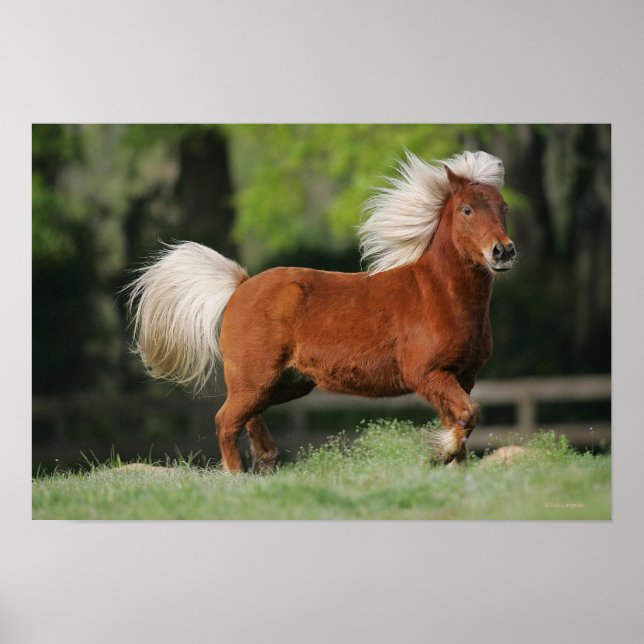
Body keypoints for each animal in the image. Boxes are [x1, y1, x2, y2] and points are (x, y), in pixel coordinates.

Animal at [126, 150, 516, 473]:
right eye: (467, 210)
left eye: (504, 208)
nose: (503, 251)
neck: (437, 295)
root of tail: (240, 286)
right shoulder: (428, 374)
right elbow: (469, 414)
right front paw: (440, 453)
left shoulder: (462, 376)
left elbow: (462, 420)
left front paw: (454, 467)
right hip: (256, 379)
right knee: (226, 421)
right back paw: (237, 477)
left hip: (286, 383)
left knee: (247, 416)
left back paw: (266, 462)